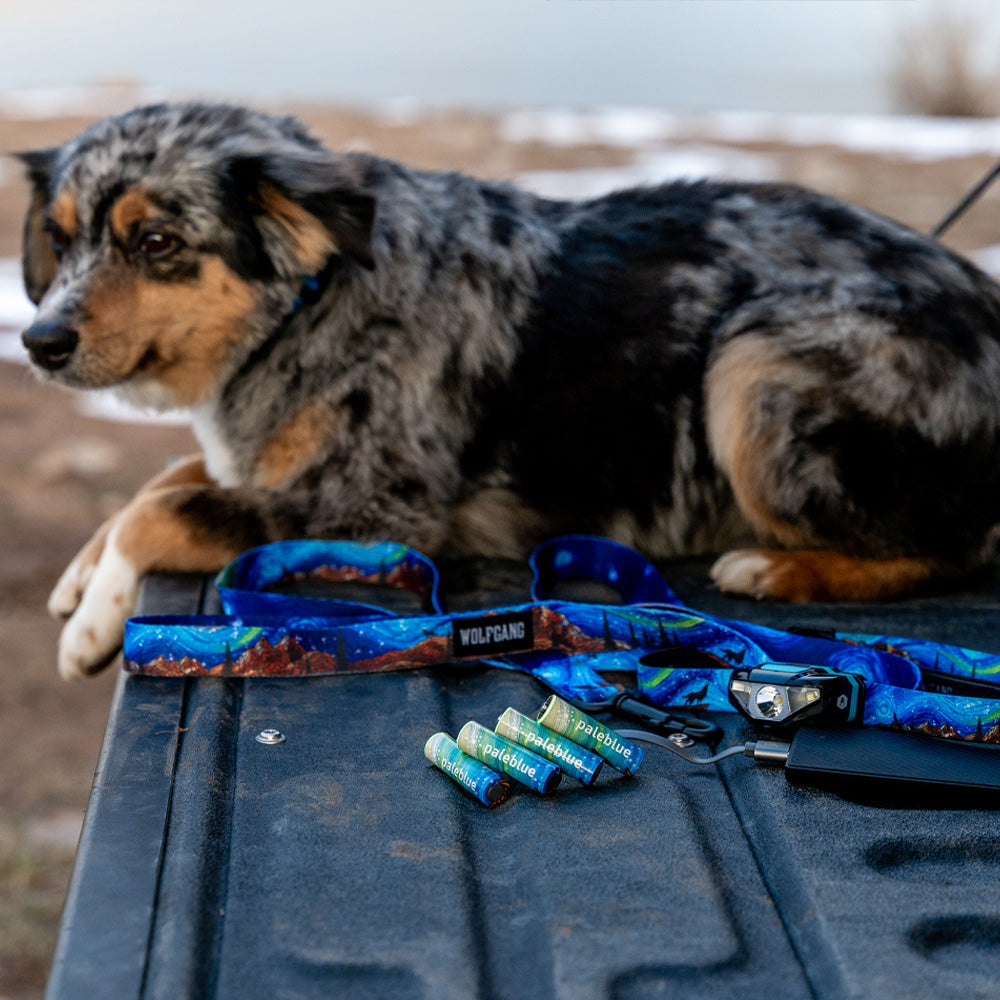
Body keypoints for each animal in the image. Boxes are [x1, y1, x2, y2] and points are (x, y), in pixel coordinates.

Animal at [17, 103, 1000, 680]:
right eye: (60, 242)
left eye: (155, 243)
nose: (38, 343)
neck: (310, 302)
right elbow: (168, 476)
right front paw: (79, 581)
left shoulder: (374, 510)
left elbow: (163, 508)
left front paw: (92, 623)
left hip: (752, 361)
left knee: (955, 548)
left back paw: (779, 567)